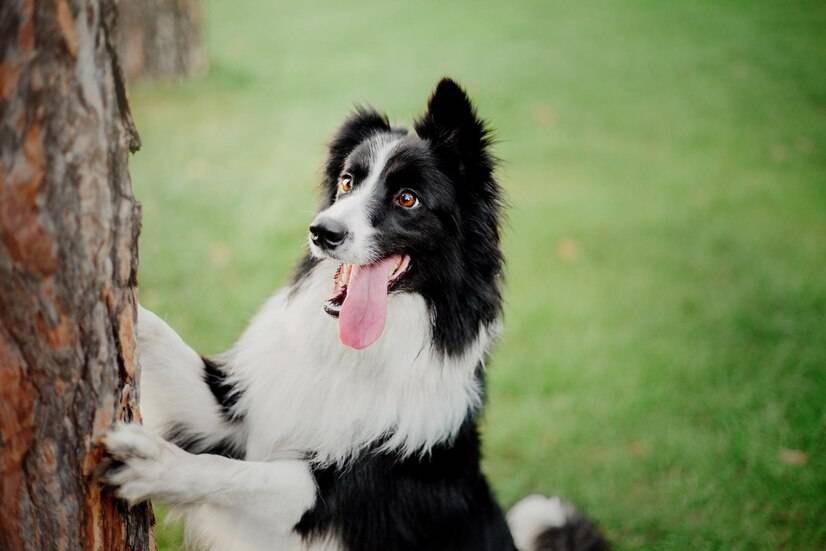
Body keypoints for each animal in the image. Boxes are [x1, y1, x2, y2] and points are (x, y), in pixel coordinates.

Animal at [101, 78, 604, 551]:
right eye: (346, 182)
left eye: (407, 199)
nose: (321, 232)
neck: (353, 356)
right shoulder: (231, 415)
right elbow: (169, 344)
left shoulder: (343, 496)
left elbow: (239, 474)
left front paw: (156, 464)